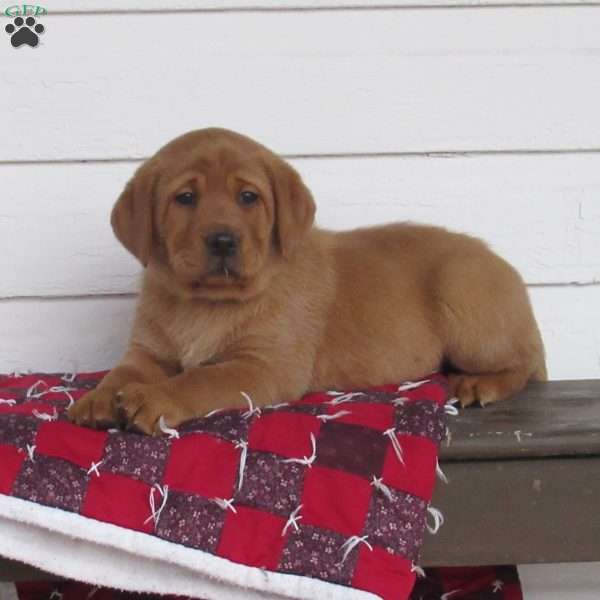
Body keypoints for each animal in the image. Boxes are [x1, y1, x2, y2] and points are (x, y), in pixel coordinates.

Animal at [68, 127, 548, 436]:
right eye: (185, 198)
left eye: (248, 197)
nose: (222, 240)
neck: (204, 303)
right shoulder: (147, 351)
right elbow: (120, 373)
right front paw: (96, 399)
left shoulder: (262, 365)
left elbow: (200, 379)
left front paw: (156, 398)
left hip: (463, 295)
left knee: (525, 363)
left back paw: (481, 383)